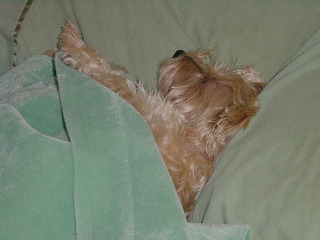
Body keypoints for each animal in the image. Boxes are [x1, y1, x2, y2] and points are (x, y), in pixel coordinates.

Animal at [50, 20, 264, 216]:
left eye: (206, 80)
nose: (179, 52)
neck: (192, 141)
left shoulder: (145, 108)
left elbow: (108, 75)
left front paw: (71, 39)